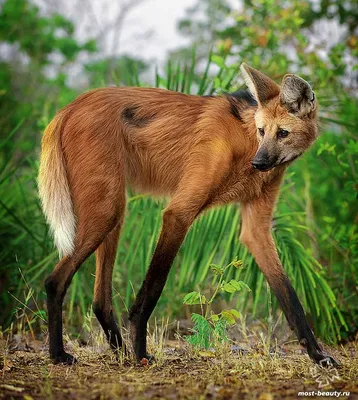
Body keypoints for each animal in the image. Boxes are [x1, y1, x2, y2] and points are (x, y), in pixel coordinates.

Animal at [39, 61, 338, 366]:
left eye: (282, 133)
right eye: (262, 131)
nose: (259, 162)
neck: (244, 142)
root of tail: (67, 108)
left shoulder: (257, 229)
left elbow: (289, 294)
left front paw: (318, 355)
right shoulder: (178, 213)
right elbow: (155, 285)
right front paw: (142, 352)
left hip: (114, 212)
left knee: (100, 300)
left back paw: (119, 352)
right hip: (106, 211)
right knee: (54, 282)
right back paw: (60, 354)